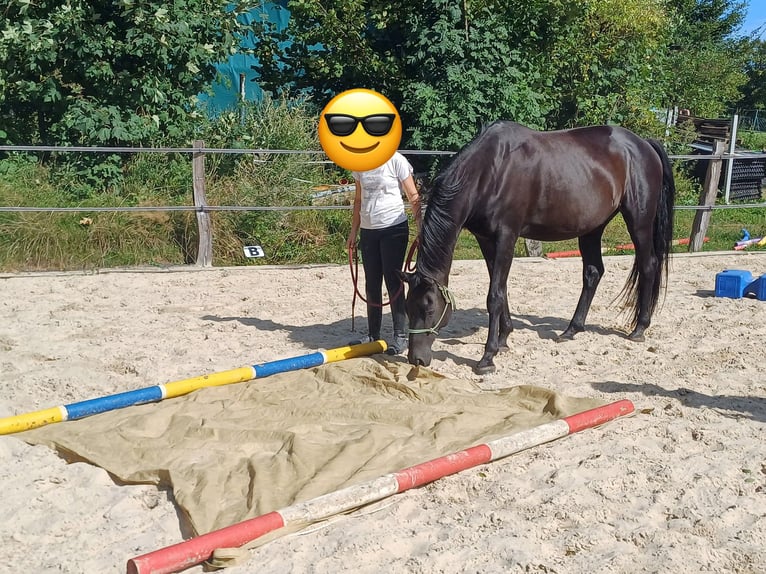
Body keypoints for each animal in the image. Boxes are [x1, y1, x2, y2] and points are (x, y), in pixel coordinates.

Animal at [399, 120, 676, 374]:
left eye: (429, 307)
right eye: (407, 307)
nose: (416, 359)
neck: (489, 172)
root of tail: (643, 144)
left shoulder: (506, 237)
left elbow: (494, 295)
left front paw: (488, 357)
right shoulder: (485, 239)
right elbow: (501, 290)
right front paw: (504, 338)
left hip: (639, 222)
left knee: (648, 265)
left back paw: (639, 328)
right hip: (592, 227)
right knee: (593, 272)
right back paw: (572, 329)